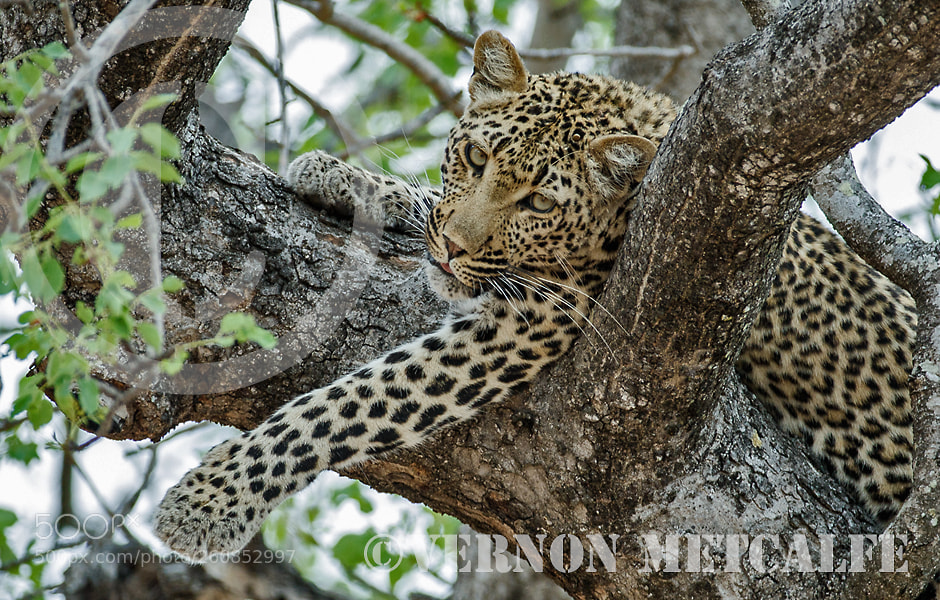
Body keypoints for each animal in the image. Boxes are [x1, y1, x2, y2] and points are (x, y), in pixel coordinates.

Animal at [153, 30, 916, 562]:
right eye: (475, 159)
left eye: (540, 203)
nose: (452, 252)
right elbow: (430, 205)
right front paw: (342, 176)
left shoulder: (536, 322)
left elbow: (346, 403)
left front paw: (211, 500)